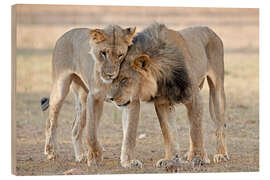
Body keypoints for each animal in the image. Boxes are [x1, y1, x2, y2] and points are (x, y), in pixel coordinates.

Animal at [42, 24, 137, 167]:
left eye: (120, 55)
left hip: (83, 98)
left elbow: (130, 133)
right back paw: (51, 152)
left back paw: (80, 156)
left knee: (75, 129)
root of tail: (65, 34)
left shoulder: (130, 100)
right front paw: (94, 157)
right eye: (103, 53)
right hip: (61, 87)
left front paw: (128, 161)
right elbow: (91, 133)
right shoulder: (94, 98)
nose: (110, 74)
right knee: (51, 121)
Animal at [106, 23, 229, 168]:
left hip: (217, 90)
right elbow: (168, 131)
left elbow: (195, 130)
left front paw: (198, 158)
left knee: (220, 125)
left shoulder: (194, 95)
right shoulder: (162, 103)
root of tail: (209, 30)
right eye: (113, 79)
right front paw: (170, 159)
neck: (161, 78)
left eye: (124, 79)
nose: (110, 98)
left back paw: (221, 154)